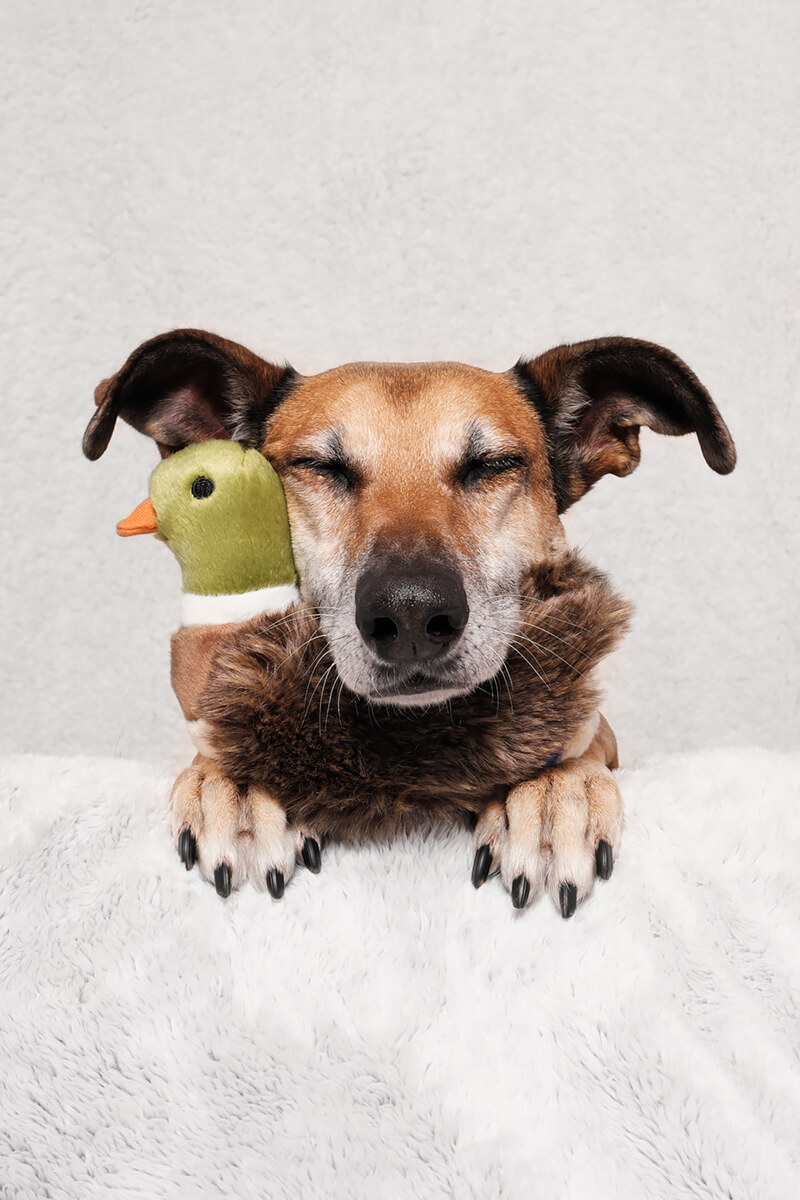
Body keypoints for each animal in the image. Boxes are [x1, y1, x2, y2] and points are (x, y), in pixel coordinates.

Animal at [84, 326, 734, 907]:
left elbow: (580, 746)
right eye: (321, 467)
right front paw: (241, 783)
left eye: (493, 464)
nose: (413, 615)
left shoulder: (604, 735)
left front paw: (553, 792)